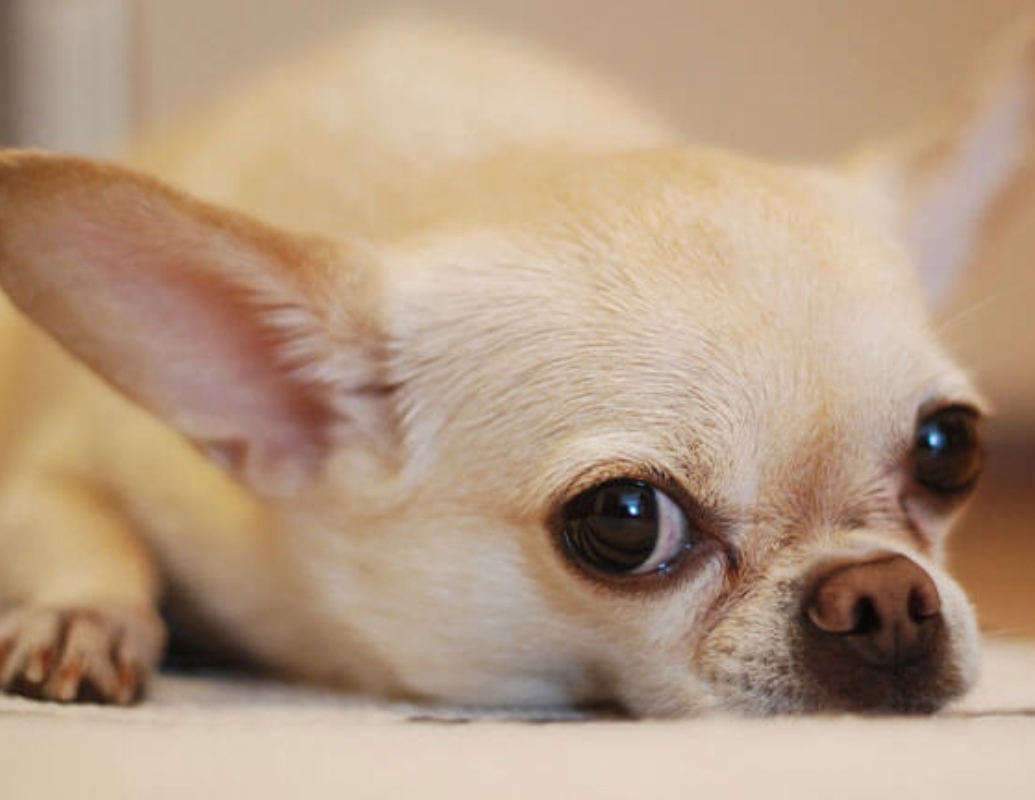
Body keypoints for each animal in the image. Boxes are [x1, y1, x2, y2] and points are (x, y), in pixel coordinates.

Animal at [0, 17, 1030, 712]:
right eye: (623, 520)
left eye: (949, 449)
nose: (884, 594)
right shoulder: (70, 471)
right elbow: (82, 522)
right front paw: (86, 614)